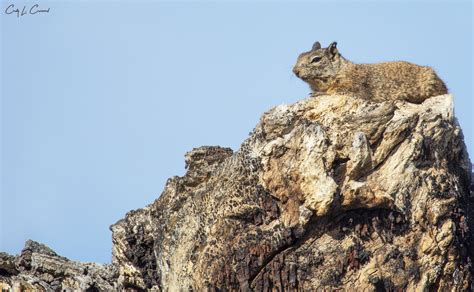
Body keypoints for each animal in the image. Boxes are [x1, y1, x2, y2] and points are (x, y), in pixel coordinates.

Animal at [292, 41, 448, 103]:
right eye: (299, 56)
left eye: (316, 59)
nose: (295, 71)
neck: (342, 70)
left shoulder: (353, 86)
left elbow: (338, 92)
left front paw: (319, 94)